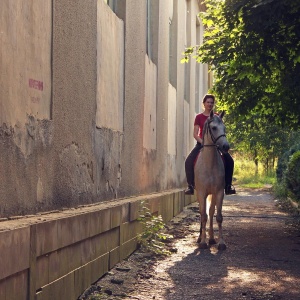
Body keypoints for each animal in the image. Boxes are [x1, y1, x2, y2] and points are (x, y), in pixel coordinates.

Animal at [193, 111, 229, 250]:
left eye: (224, 128)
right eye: (213, 128)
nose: (226, 146)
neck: (209, 164)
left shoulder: (219, 192)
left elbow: (218, 216)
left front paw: (221, 243)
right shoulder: (201, 193)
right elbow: (203, 216)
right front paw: (203, 242)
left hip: (212, 194)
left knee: (211, 211)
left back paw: (212, 238)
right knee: (203, 212)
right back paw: (200, 237)